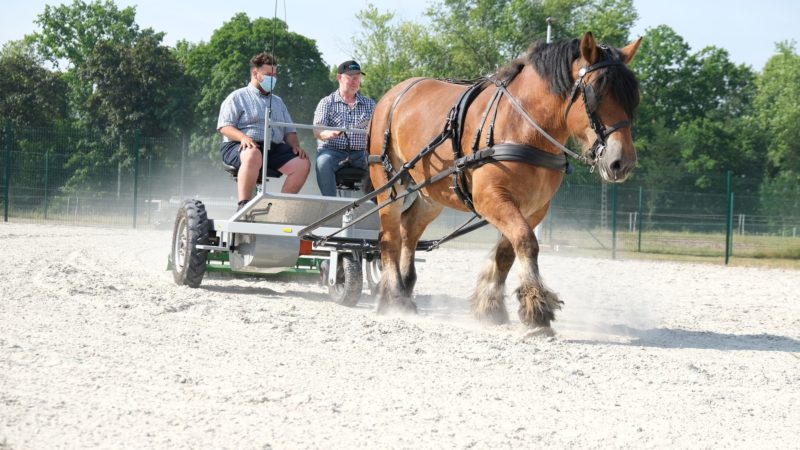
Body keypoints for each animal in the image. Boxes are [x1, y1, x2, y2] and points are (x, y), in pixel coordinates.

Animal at [366, 31, 640, 334]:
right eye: (594, 95)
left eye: (632, 98)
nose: (622, 162)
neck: (523, 125)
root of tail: (394, 94)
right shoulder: (491, 199)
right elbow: (526, 242)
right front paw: (537, 308)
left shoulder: (534, 208)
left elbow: (508, 251)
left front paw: (491, 306)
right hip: (389, 185)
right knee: (390, 236)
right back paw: (394, 297)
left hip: (429, 193)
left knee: (409, 231)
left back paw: (404, 288)